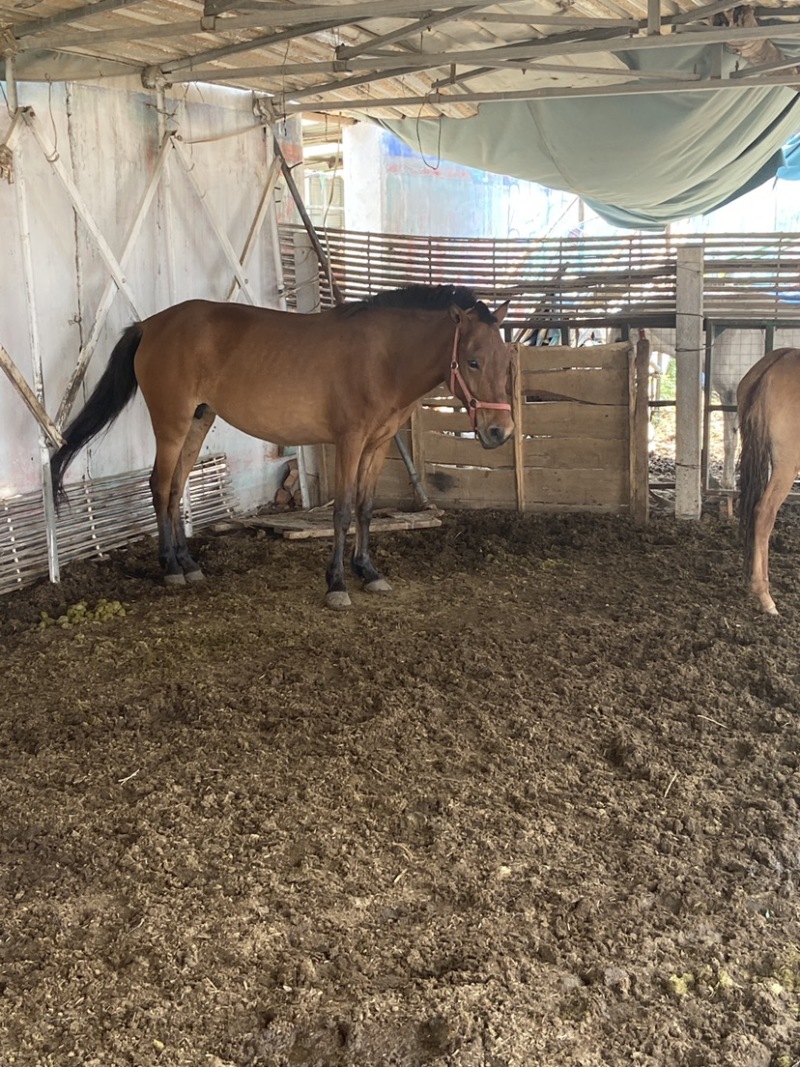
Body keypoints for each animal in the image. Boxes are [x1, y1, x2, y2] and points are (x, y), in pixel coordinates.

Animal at [50, 284, 514, 609]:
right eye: (472, 361)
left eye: (506, 361)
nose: (501, 432)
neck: (384, 356)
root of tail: (150, 325)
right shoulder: (349, 442)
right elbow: (342, 511)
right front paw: (337, 583)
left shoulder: (378, 445)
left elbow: (365, 508)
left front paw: (368, 571)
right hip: (172, 423)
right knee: (161, 486)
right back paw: (170, 568)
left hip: (199, 420)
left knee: (178, 488)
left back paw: (189, 564)